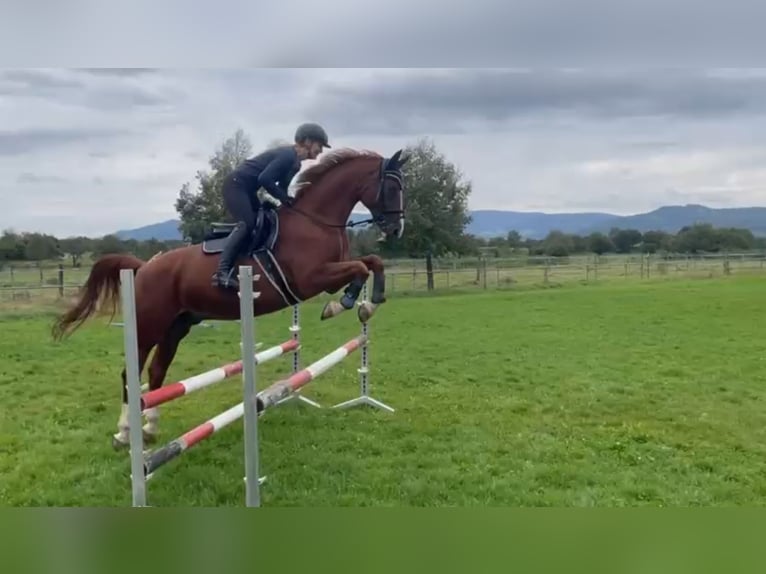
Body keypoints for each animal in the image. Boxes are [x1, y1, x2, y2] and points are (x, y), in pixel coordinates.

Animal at [51, 147, 412, 450]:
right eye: (392, 188)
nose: (396, 229)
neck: (316, 221)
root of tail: (144, 267)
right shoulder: (313, 279)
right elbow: (359, 269)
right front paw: (343, 305)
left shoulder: (331, 271)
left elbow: (372, 263)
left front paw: (369, 303)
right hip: (149, 325)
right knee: (132, 374)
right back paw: (125, 433)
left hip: (176, 326)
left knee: (156, 371)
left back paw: (151, 428)